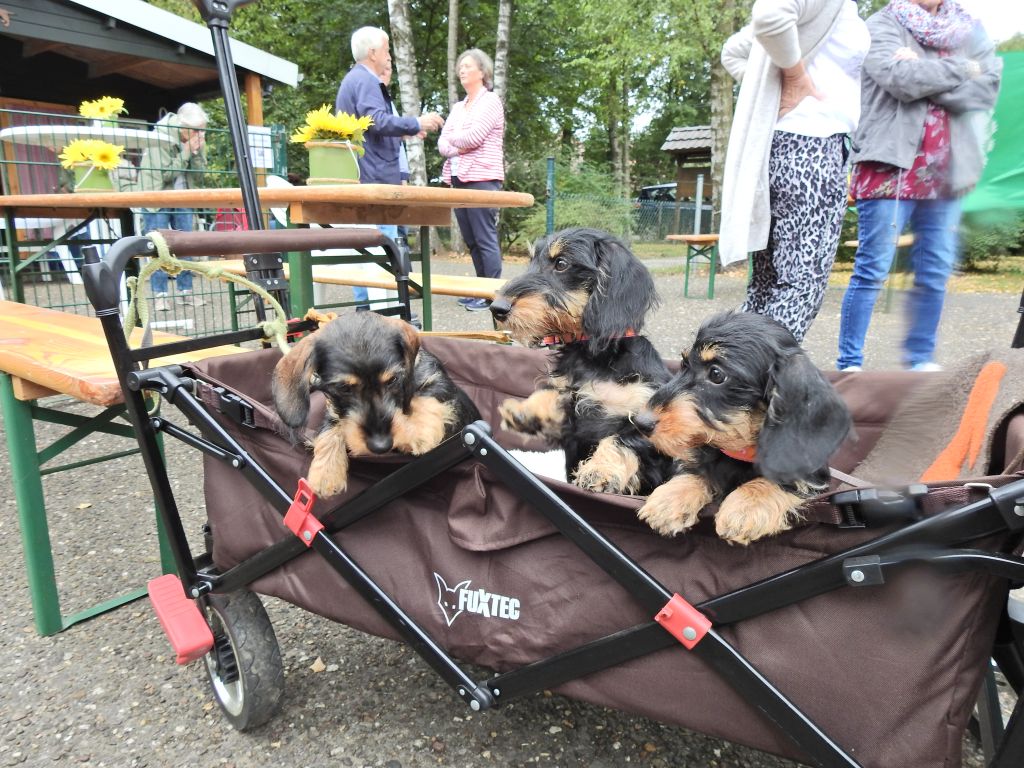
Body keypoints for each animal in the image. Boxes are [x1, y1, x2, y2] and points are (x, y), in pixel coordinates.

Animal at [271, 312, 481, 497]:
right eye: (343, 388)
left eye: (392, 380)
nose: (381, 446)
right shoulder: (335, 410)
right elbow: (330, 428)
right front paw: (325, 473)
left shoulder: (440, 384)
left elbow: (426, 397)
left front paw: (419, 432)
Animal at [488, 227, 676, 495]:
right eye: (531, 261)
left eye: (561, 263)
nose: (497, 308)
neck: (592, 356)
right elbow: (556, 394)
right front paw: (527, 410)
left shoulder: (648, 424)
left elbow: (619, 440)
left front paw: (600, 471)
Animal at [635, 311, 852, 545]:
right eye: (684, 364)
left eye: (716, 374)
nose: (640, 422)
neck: (740, 449)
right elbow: (699, 469)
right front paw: (670, 499)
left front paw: (747, 506)